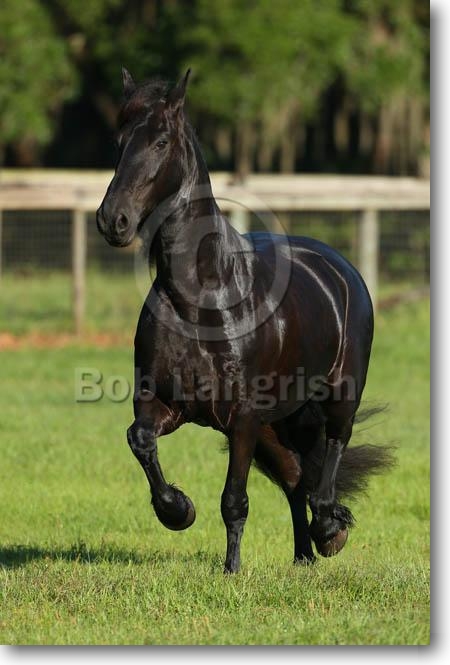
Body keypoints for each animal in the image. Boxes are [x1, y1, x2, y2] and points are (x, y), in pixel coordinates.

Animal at [96, 69, 392, 573]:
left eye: (160, 142)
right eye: (119, 141)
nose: (112, 220)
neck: (200, 300)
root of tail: (340, 269)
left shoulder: (243, 419)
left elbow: (234, 500)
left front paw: (231, 570)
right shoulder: (164, 403)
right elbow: (140, 440)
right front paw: (177, 510)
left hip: (337, 396)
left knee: (331, 453)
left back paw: (329, 531)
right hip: (280, 421)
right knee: (296, 478)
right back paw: (303, 558)